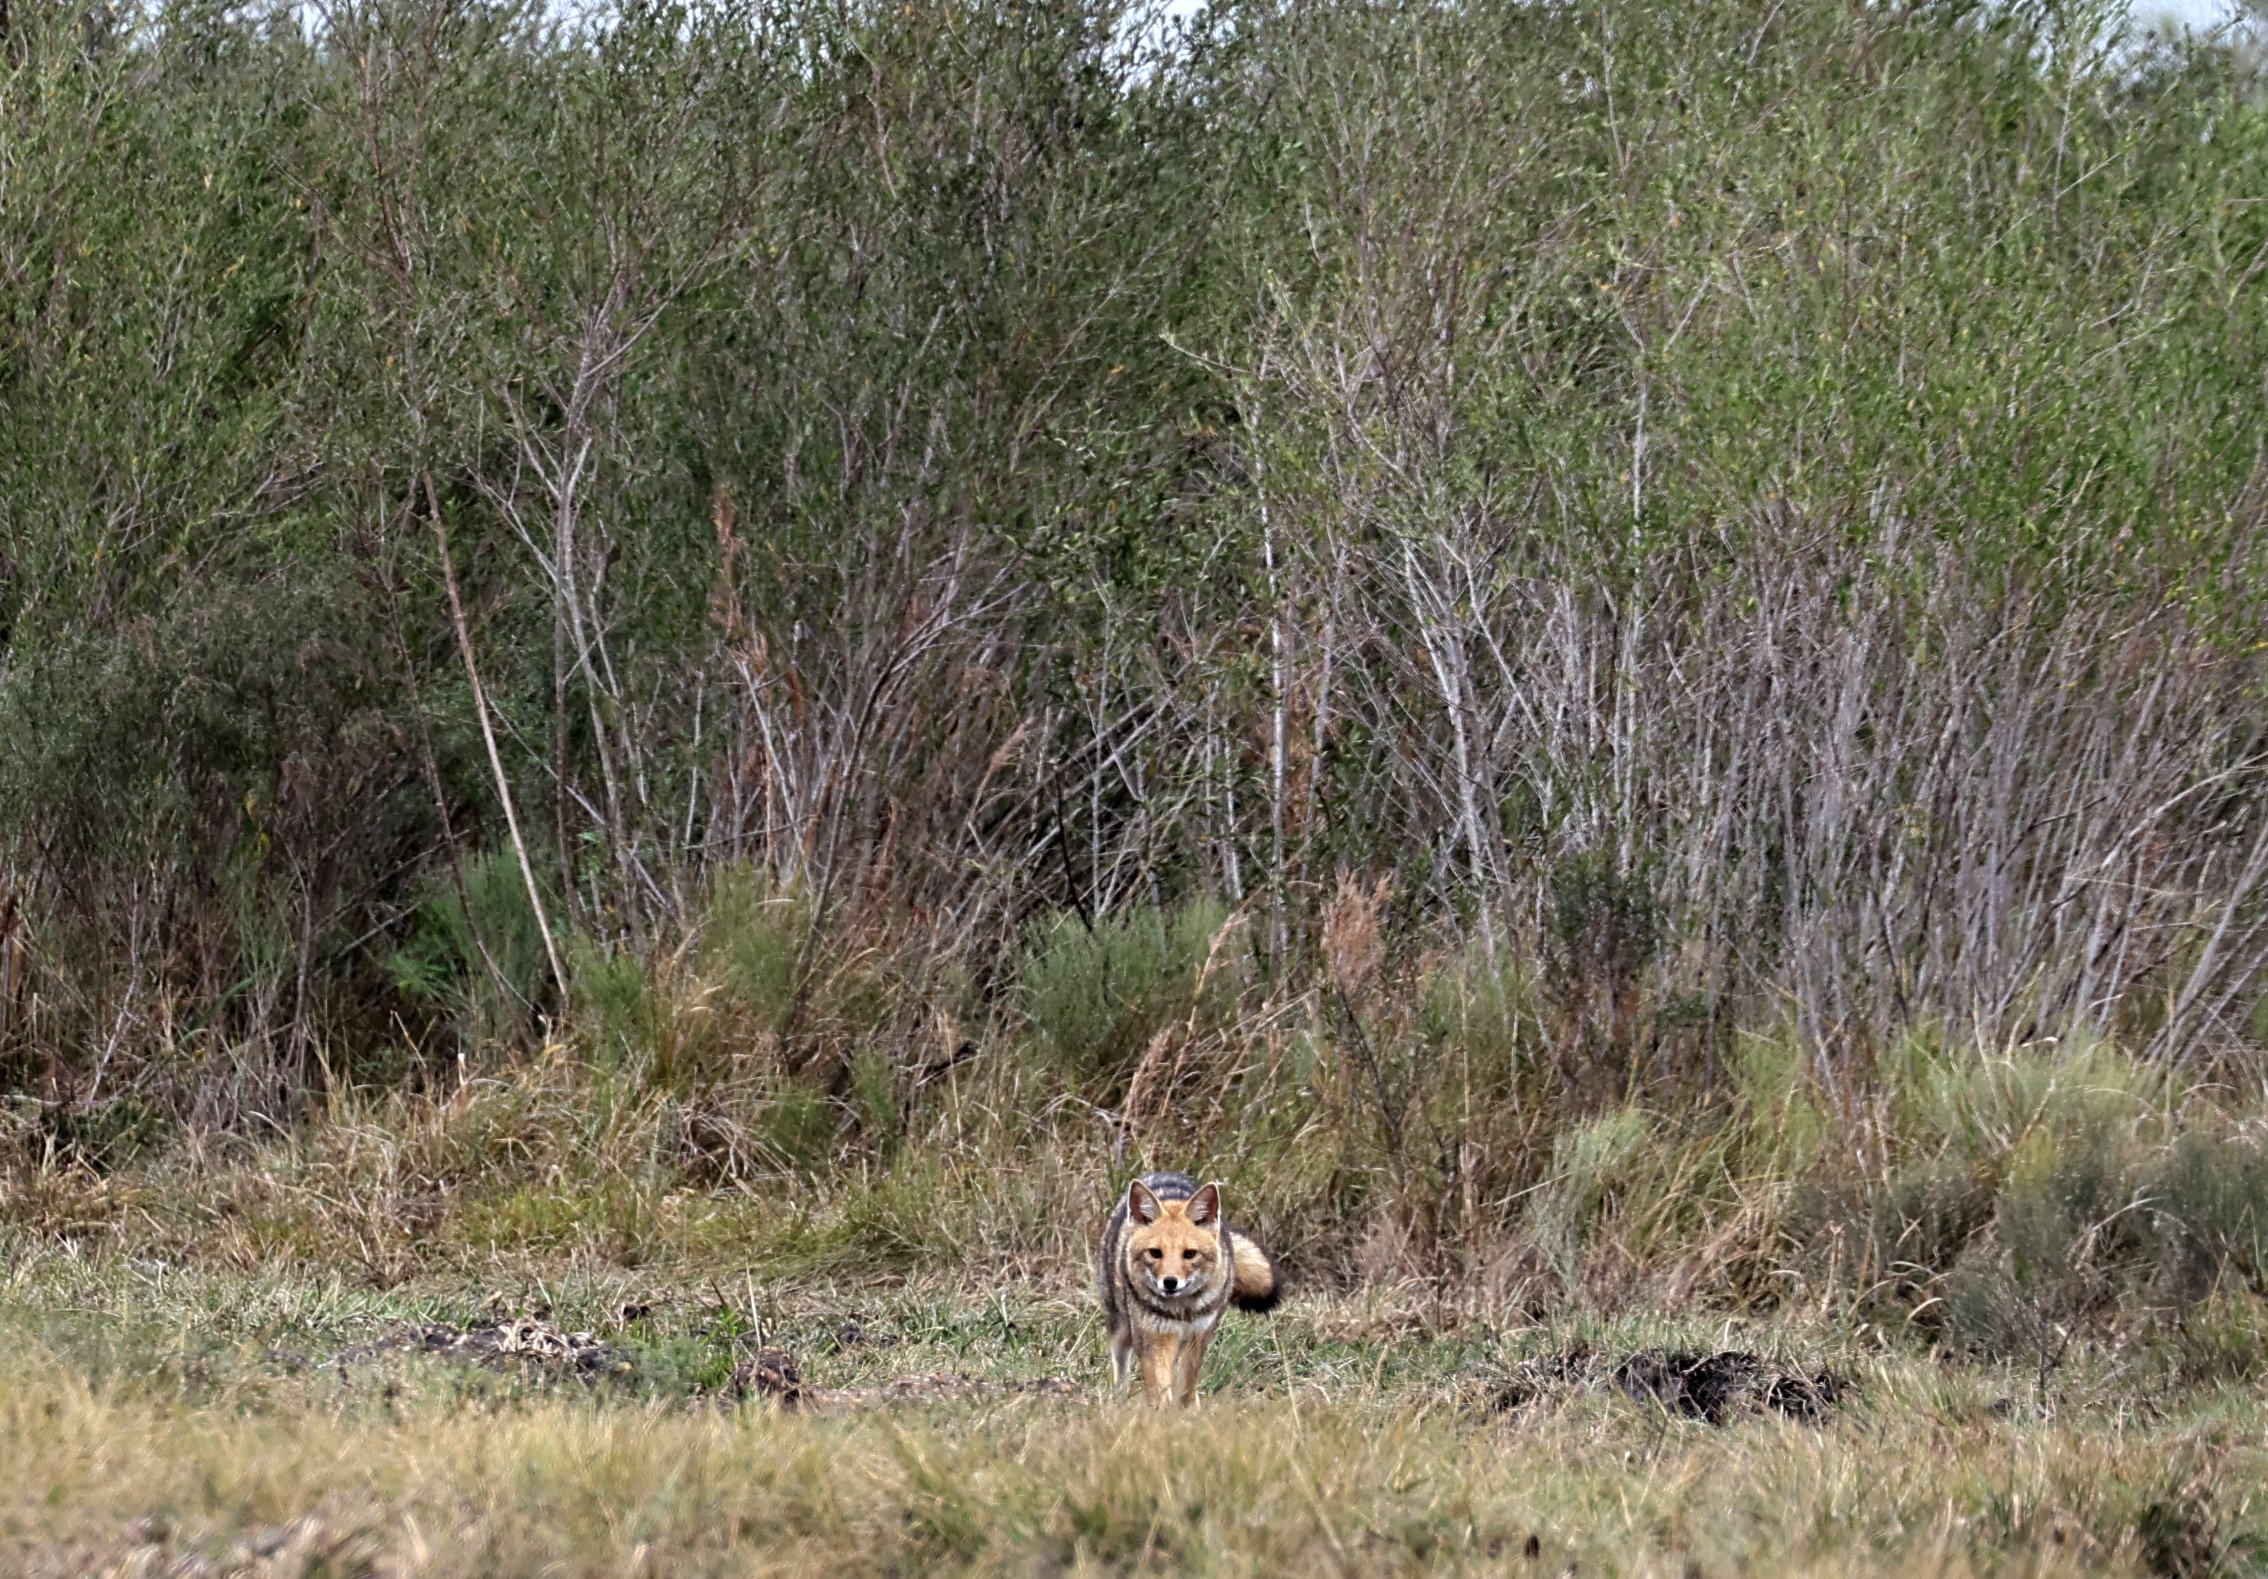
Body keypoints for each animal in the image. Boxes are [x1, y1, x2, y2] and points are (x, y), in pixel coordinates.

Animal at [1097, 1171, 1281, 1405]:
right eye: (1155, 1253)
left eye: (1190, 1254)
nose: (1170, 1282)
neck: (1182, 1310)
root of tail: (1163, 1174)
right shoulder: (1154, 1339)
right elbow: (1160, 1389)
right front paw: (1163, 1411)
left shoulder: (1198, 1337)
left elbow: (1186, 1386)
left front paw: (1187, 1411)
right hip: (1121, 1329)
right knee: (1120, 1372)